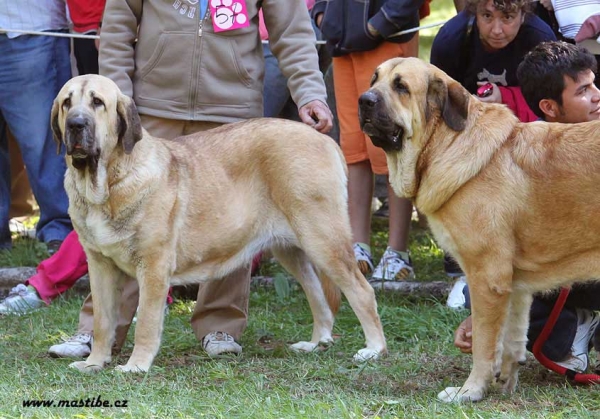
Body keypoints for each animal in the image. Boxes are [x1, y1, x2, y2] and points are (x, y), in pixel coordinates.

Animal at [52, 74, 390, 372]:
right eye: (68, 102)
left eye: (98, 102)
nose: (76, 124)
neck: (106, 185)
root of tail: (324, 140)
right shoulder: (100, 266)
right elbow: (102, 321)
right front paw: (94, 363)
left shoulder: (154, 267)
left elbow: (146, 322)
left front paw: (136, 366)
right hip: (292, 249)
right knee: (317, 294)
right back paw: (317, 342)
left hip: (323, 240)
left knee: (362, 292)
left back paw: (374, 349)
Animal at [358, 55, 600, 404]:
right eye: (373, 80)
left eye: (401, 86)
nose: (364, 100)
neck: (445, 143)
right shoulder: (516, 285)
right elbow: (512, 339)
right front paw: (504, 383)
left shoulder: (486, 278)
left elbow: (484, 344)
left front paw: (469, 391)